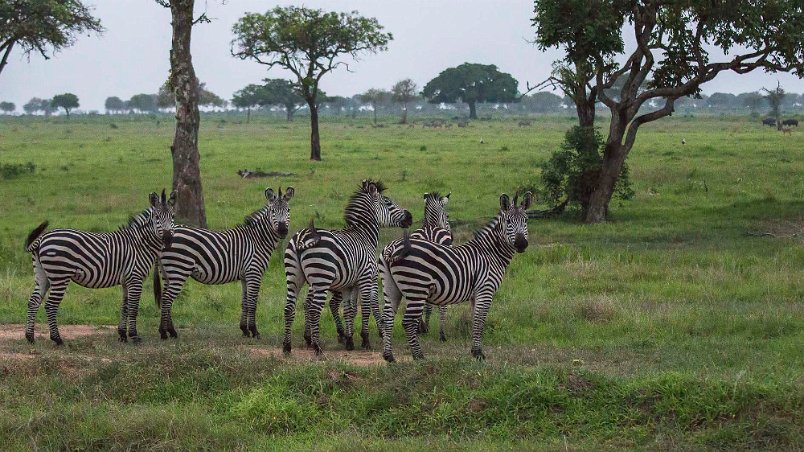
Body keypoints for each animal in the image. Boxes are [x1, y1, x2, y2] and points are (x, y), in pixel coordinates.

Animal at [24, 189, 176, 344]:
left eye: (173, 216)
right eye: (157, 217)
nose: (168, 239)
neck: (140, 244)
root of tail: (42, 239)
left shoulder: (126, 281)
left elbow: (125, 306)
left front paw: (122, 334)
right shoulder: (135, 278)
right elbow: (133, 308)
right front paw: (134, 336)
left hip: (42, 275)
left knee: (34, 301)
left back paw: (30, 337)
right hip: (60, 276)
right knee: (50, 305)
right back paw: (57, 339)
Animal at [152, 186, 294, 340]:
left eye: (288, 210)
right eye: (273, 211)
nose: (283, 230)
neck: (257, 240)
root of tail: (163, 238)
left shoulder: (245, 276)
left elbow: (245, 302)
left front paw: (244, 329)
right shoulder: (254, 273)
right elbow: (253, 302)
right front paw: (254, 331)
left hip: (168, 272)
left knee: (165, 298)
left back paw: (170, 331)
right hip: (179, 270)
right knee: (167, 299)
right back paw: (164, 332)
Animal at [282, 179, 412, 354]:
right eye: (388, 202)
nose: (410, 217)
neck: (365, 236)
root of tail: (301, 237)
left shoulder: (349, 285)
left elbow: (349, 309)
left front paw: (349, 340)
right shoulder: (366, 278)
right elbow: (366, 307)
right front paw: (365, 339)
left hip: (295, 277)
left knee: (290, 307)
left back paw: (288, 346)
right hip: (321, 279)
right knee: (314, 309)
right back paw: (317, 347)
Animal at [380, 192, 532, 364]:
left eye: (526, 220)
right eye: (508, 221)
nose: (521, 244)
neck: (490, 253)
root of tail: (391, 248)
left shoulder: (475, 294)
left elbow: (475, 320)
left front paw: (474, 350)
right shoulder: (485, 289)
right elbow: (480, 320)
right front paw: (479, 354)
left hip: (391, 287)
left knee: (387, 318)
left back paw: (389, 356)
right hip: (417, 288)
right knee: (408, 322)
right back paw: (419, 357)